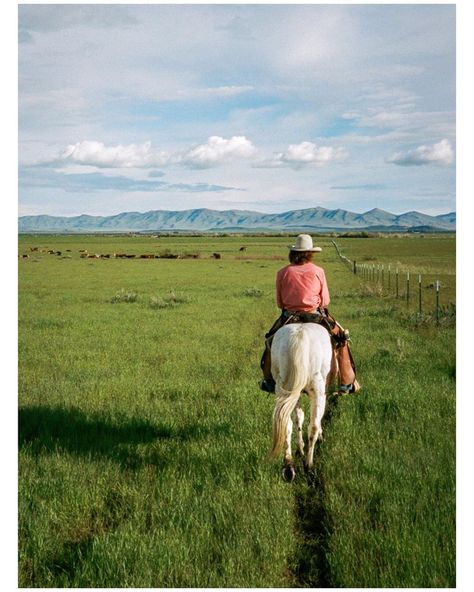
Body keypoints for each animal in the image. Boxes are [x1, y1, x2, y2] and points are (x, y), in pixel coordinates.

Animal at [270, 320, 334, 480]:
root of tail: (299, 336)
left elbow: (298, 418)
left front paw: (300, 448)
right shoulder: (322, 390)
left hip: (283, 388)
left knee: (286, 422)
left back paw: (288, 465)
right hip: (317, 387)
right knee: (313, 427)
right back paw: (309, 466)